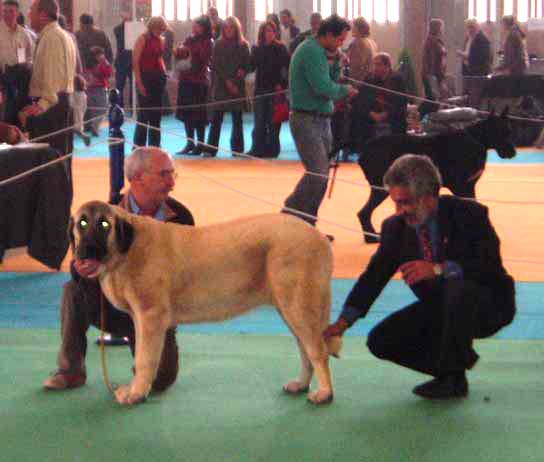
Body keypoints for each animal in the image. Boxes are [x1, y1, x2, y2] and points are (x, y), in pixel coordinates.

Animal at [68, 200, 340, 406]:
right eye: (82, 223)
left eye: (104, 224)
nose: (87, 249)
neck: (126, 249)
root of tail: (319, 237)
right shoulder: (139, 319)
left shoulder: (150, 316)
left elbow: (145, 359)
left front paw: (136, 393)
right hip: (292, 309)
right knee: (305, 350)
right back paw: (301, 384)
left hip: (299, 306)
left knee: (317, 351)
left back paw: (324, 393)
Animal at [348, 108, 520, 242]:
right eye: (500, 132)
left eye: (510, 131)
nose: (512, 153)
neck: (478, 140)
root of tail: (363, 152)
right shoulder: (462, 187)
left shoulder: (466, 187)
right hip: (380, 188)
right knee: (364, 212)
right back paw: (371, 237)